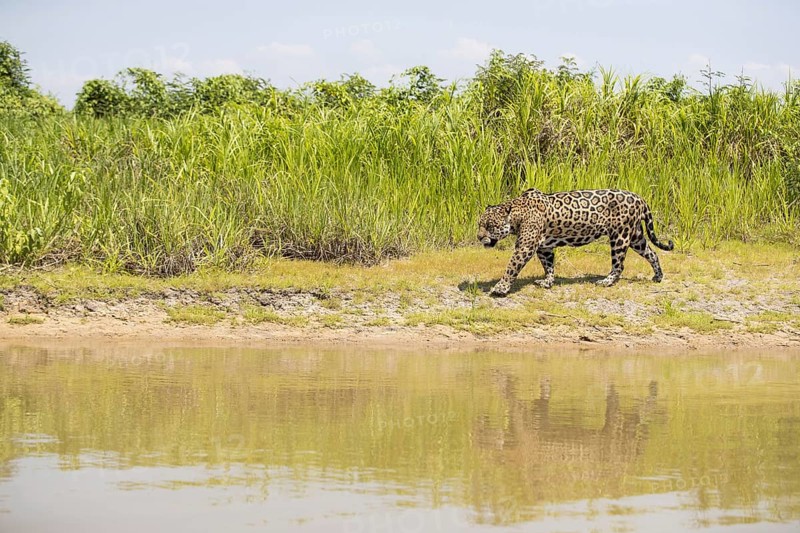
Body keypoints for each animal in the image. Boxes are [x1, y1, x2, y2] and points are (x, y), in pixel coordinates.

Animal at [477, 188, 674, 296]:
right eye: (480, 224)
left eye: (490, 226)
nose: (479, 237)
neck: (518, 214)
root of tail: (639, 197)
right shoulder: (544, 247)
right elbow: (548, 265)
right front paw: (547, 282)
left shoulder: (525, 247)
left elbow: (511, 267)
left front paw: (501, 288)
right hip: (635, 236)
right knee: (652, 253)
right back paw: (658, 276)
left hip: (620, 236)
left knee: (619, 264)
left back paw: (606, 281)